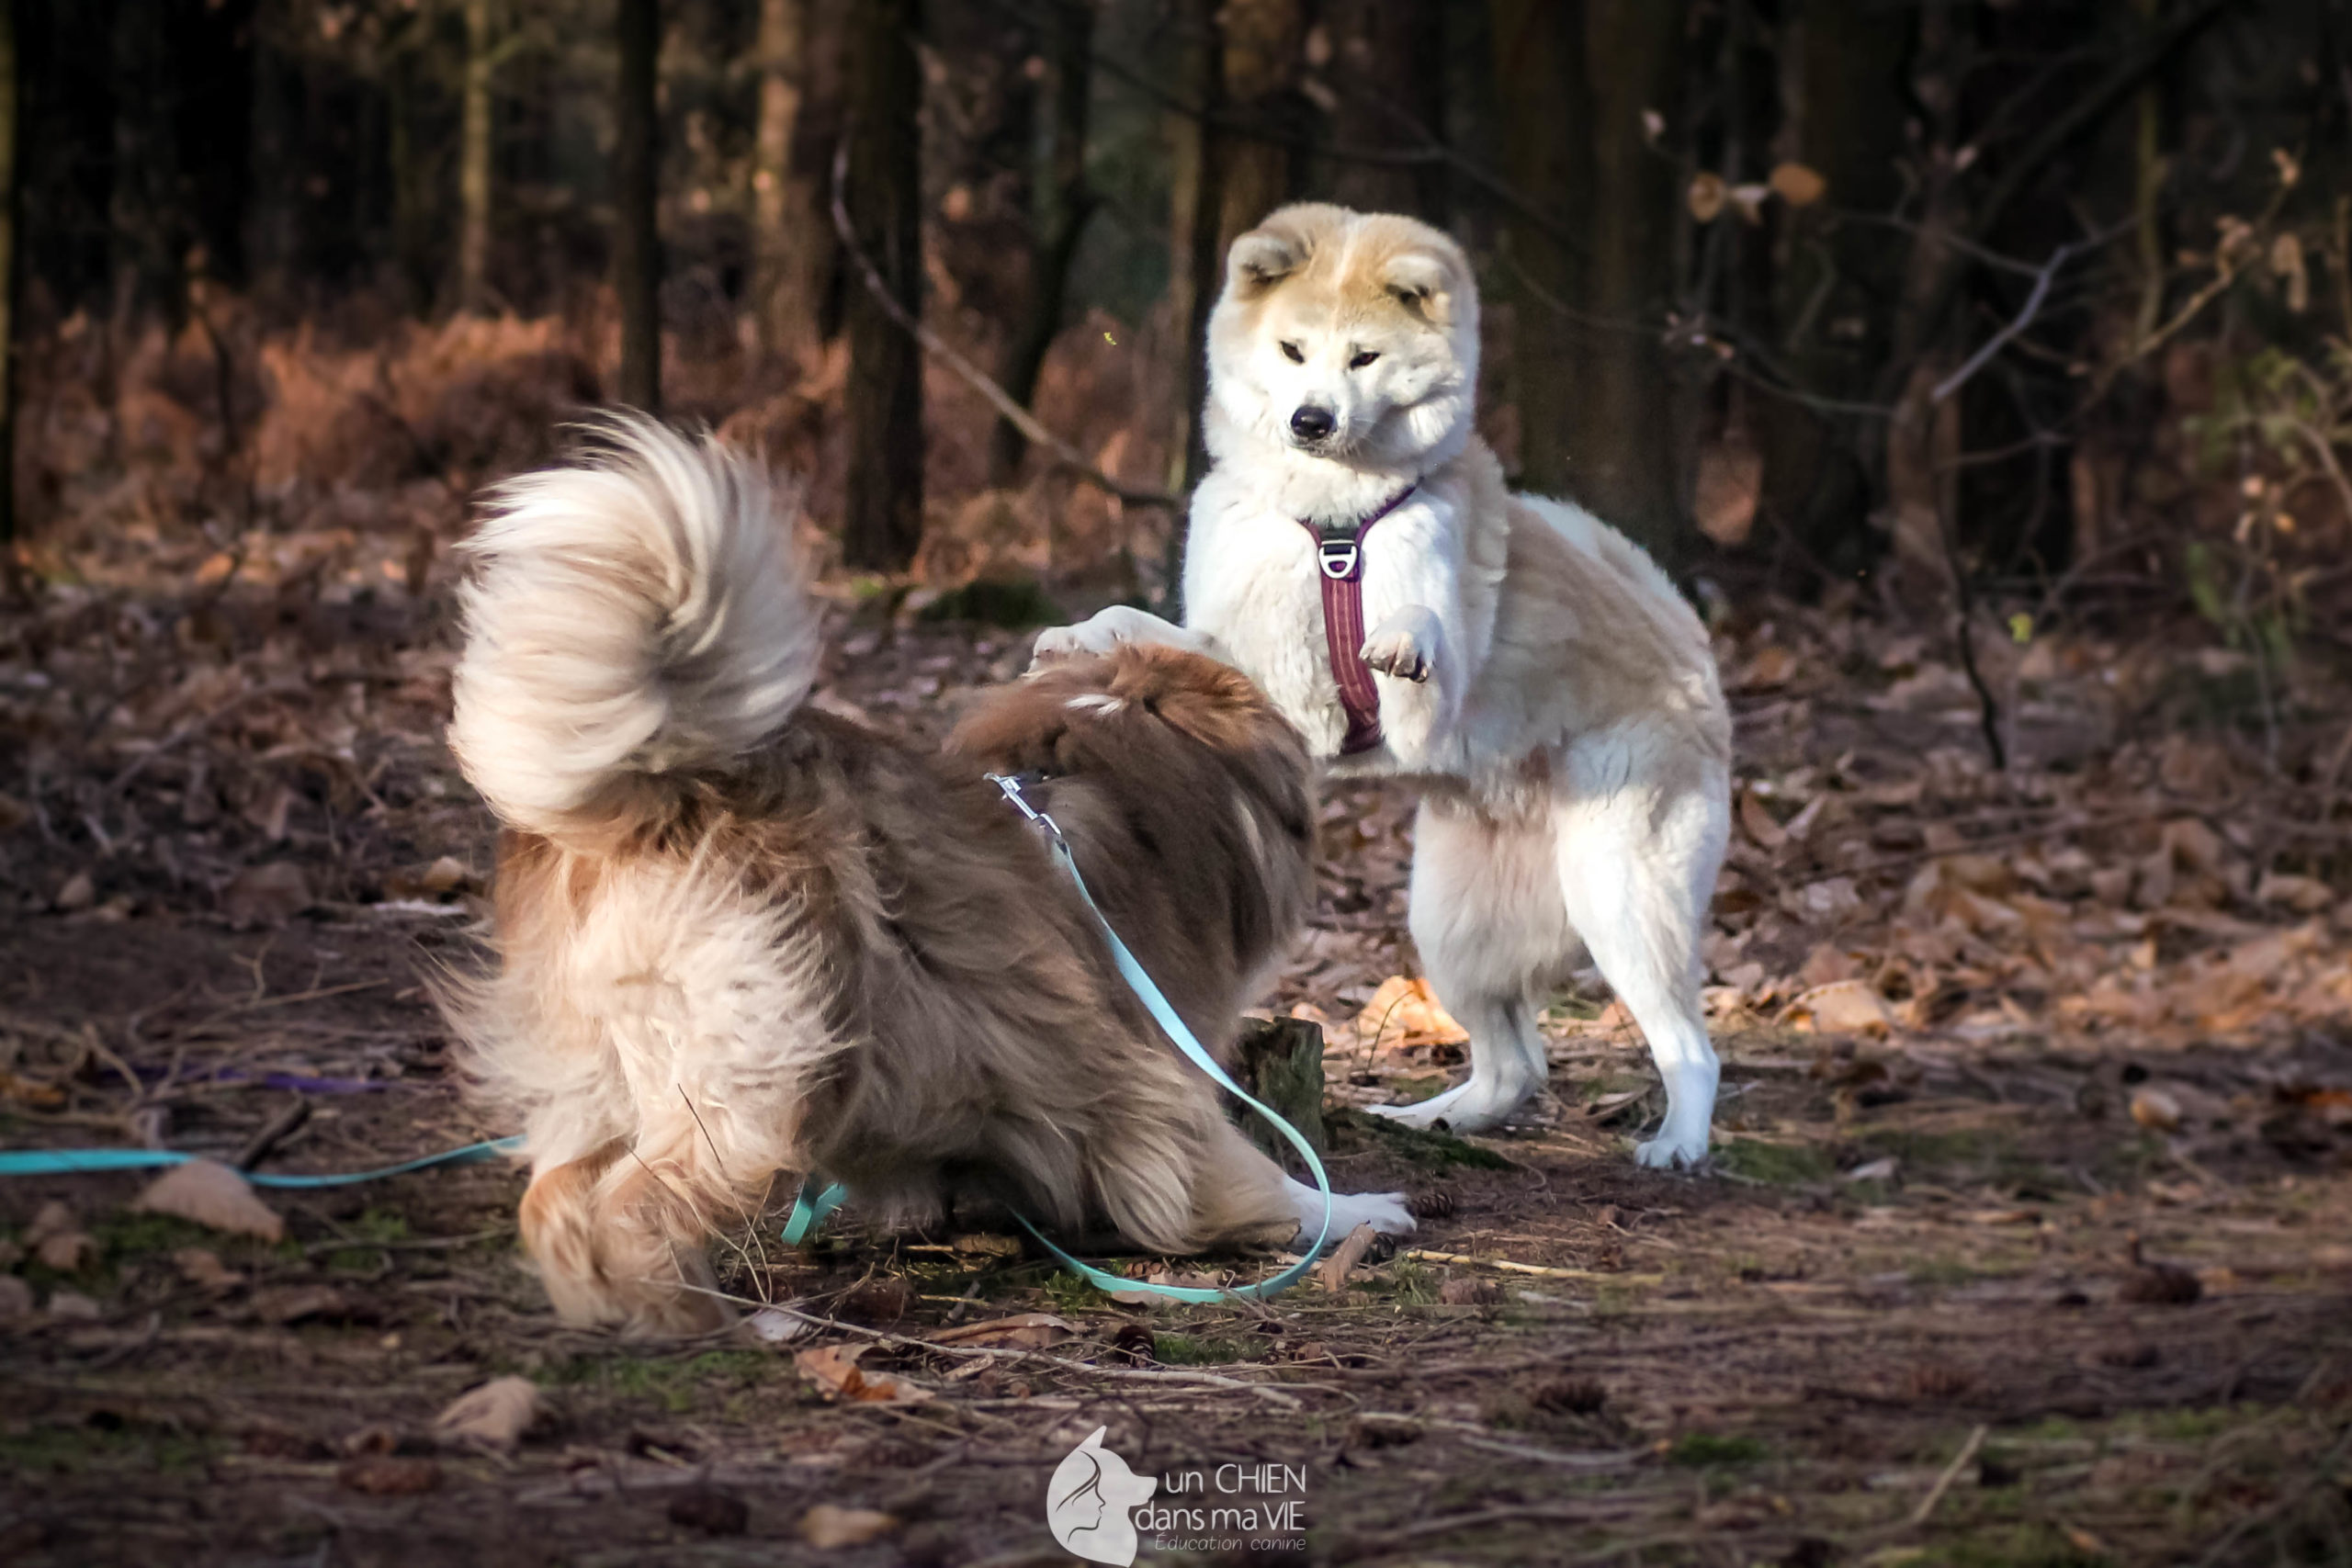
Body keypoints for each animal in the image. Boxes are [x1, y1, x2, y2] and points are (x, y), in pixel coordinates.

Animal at [444, 421, 1411, 1335]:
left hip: (602, 1068)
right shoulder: (1157, 1083)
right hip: (760, 1072)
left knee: (556, 1198)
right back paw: (695, 1322)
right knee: (633, 1204)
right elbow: (1261, 1181)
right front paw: (1364, 1209)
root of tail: (656, 790)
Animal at [1039, 205, 1740, 1166]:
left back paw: (1677, 1141)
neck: (1331, 520)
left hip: (1623, 892)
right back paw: (1431, 1118)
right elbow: (1137, 623)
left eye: (1364, 357)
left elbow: (1416, 629)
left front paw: (1405, 636)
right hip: (1453, 923)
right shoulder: (1238, 644)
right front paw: (1076, 637)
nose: (1310, 419)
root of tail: (1687, 639)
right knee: (1516, 1064)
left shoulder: (1401, 699)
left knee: (1690, 1048)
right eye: (1293, 350)